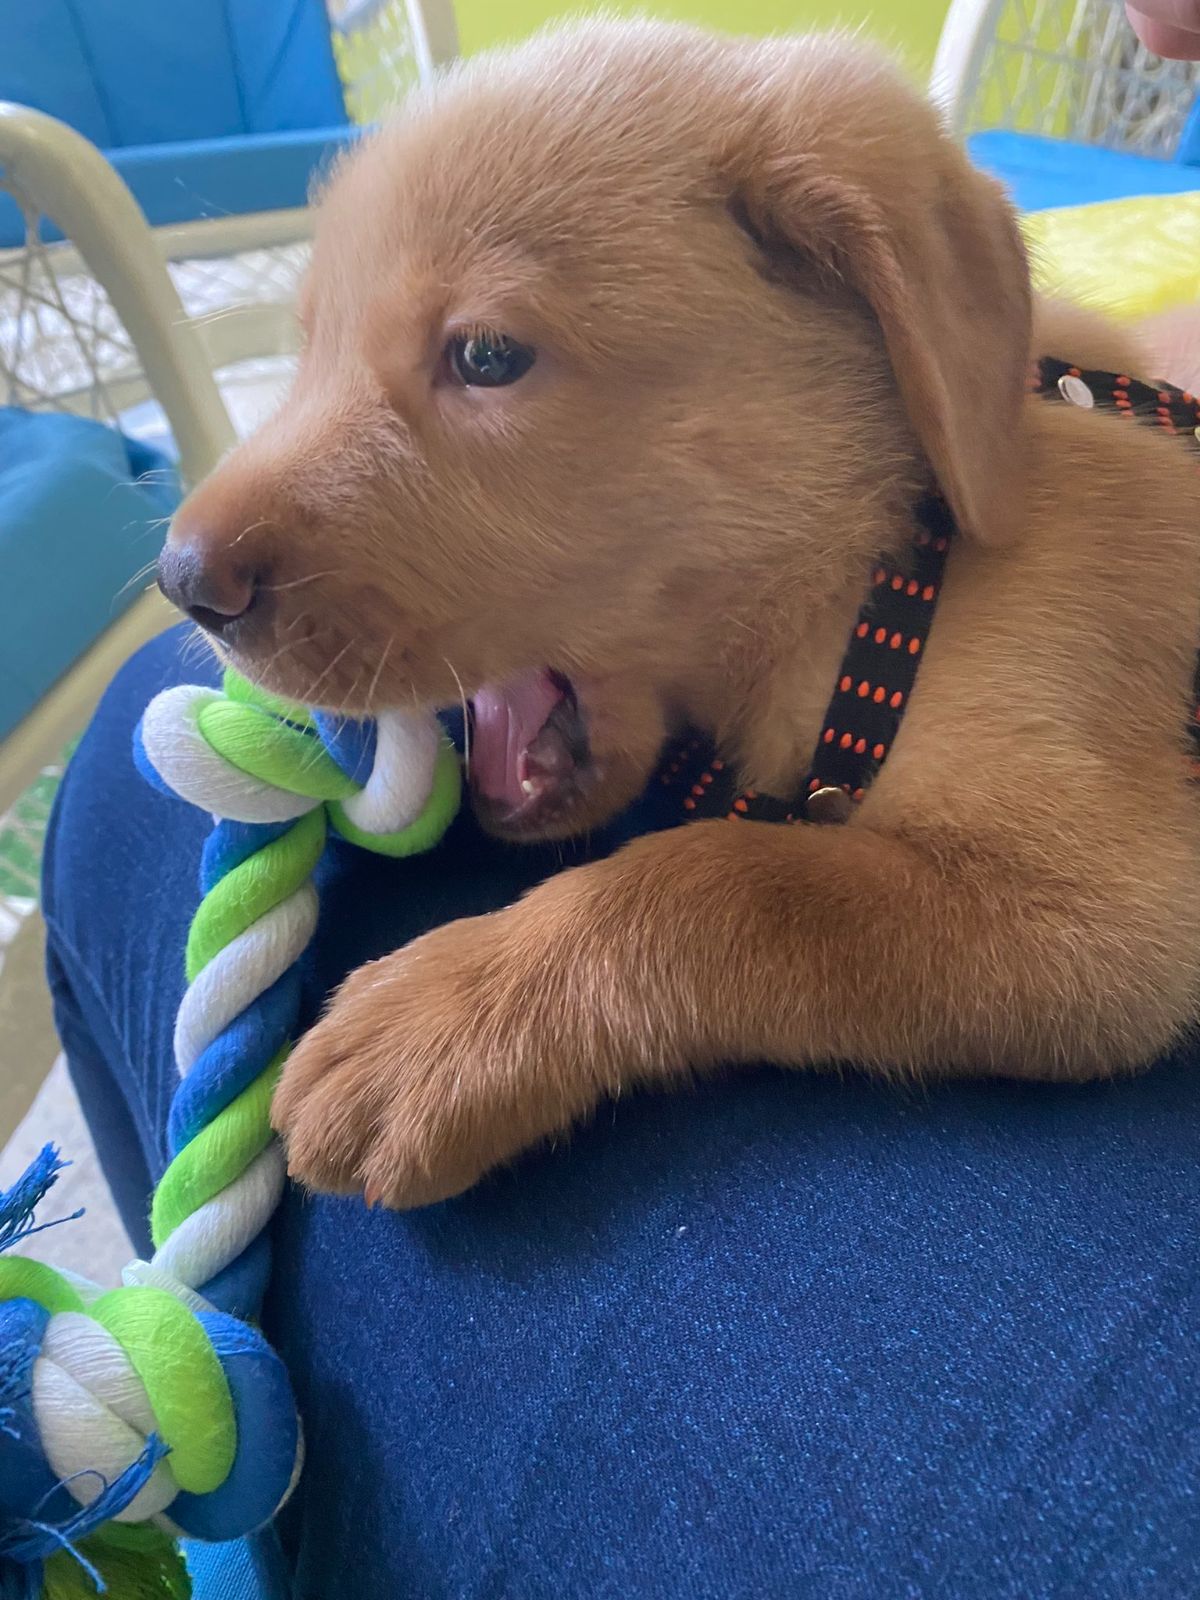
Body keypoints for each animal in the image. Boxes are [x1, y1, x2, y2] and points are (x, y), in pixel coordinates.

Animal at [162, 25, 1200, 1203]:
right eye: (310, 345)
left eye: (484, 357)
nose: (182, 580)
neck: (873, 568)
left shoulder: (1109, 918)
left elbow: (728, 879)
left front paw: (440, 1021)